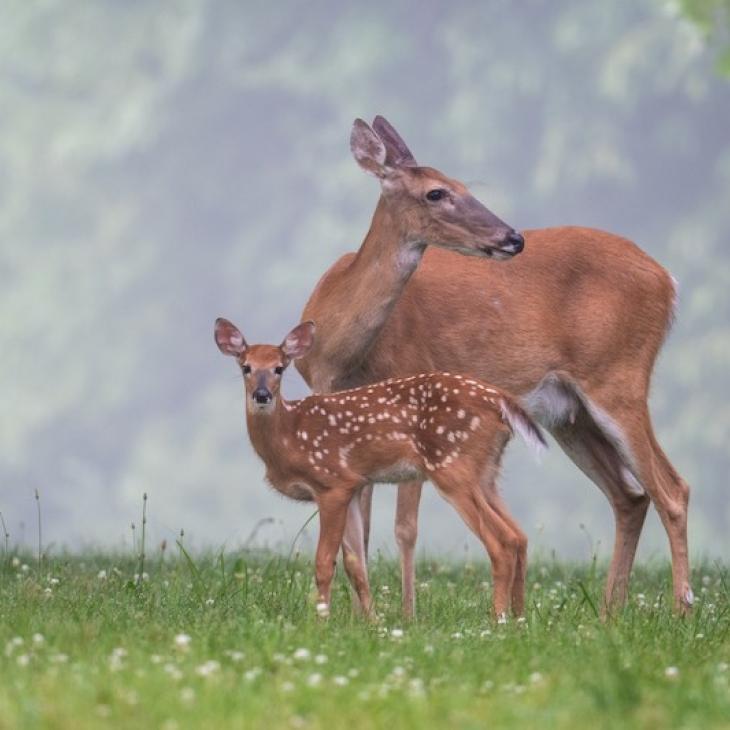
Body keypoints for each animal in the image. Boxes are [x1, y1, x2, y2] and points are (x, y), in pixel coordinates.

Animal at [292, 115, 688, 616]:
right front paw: (365, 618)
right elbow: (356, 532)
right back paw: (608, 614)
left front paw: (407, 616)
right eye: (437, 192)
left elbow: (405, 529)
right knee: (631, 496)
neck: (340, 351)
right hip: (569, 413)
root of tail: (667, 280)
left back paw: (681, 609)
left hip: (618, 375)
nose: (512, 237)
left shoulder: (412, 391)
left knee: (671, 489)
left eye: (465, 185)